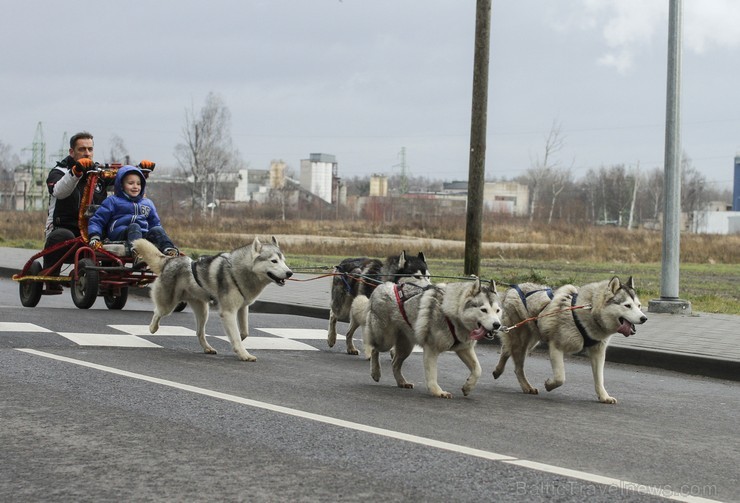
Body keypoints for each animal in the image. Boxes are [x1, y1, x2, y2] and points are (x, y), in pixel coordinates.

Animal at [133, 237, 292, 362]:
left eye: (284, 261)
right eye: (274, 261)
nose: (290, 273)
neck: (238, 271)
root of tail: (170, 260)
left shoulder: (243, 308)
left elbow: (244, 332)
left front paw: (237, 341)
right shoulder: (228, 312)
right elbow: (236, 335)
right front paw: (243, 354)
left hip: (203, 311)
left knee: (199, 332)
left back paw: (207, 348)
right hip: (168, 305)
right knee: (157, 312)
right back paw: (152, 328)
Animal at [360, 278, 500, 400]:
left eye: (497, 310)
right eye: (484, 310)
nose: (497, 325)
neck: (452, 315)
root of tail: (381, 286)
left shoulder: (464, 349)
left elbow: (478, 370)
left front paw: (468, 387)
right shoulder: (431, 349)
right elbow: (432, 374)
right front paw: (438, 392)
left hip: (405, 348)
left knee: (395, 363)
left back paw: (402, 382)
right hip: (386, 340)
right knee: (374, 349)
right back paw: (375, 372)